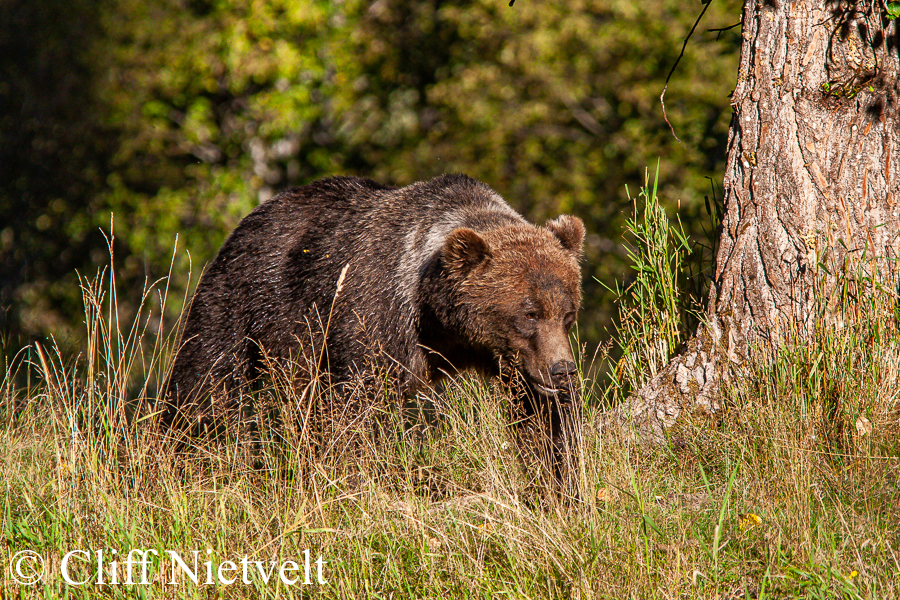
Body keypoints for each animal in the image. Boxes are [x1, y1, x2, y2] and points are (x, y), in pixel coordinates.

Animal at [160, 174, 584, 489]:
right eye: (528, 313)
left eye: (567, 313)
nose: (562, 371)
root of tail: (251, 217)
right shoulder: (375, 314)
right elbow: (359, 409)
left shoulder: (511, 361)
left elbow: (542, 422)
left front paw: (556, 487)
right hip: (246, 299)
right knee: (204, 386)